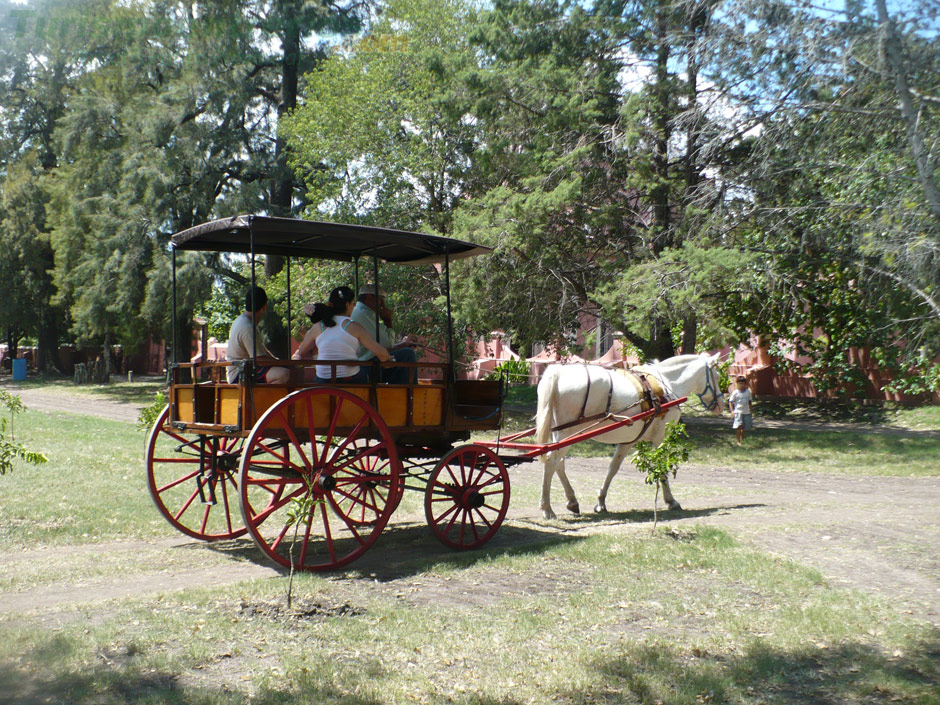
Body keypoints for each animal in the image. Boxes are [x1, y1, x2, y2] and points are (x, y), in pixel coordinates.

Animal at [532, 352, 724, 516]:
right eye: (717, 376)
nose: (722, 404)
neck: (667, 384)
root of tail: (558, 373)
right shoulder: (660, 436)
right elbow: (661, 466)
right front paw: (671, 500)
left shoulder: (629, 440)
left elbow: (613, 468)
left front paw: (601, 501)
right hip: (568, 433)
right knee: (552, 462)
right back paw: (547, 508)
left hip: (561, 434)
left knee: (559, 463)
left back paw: (572, 501)